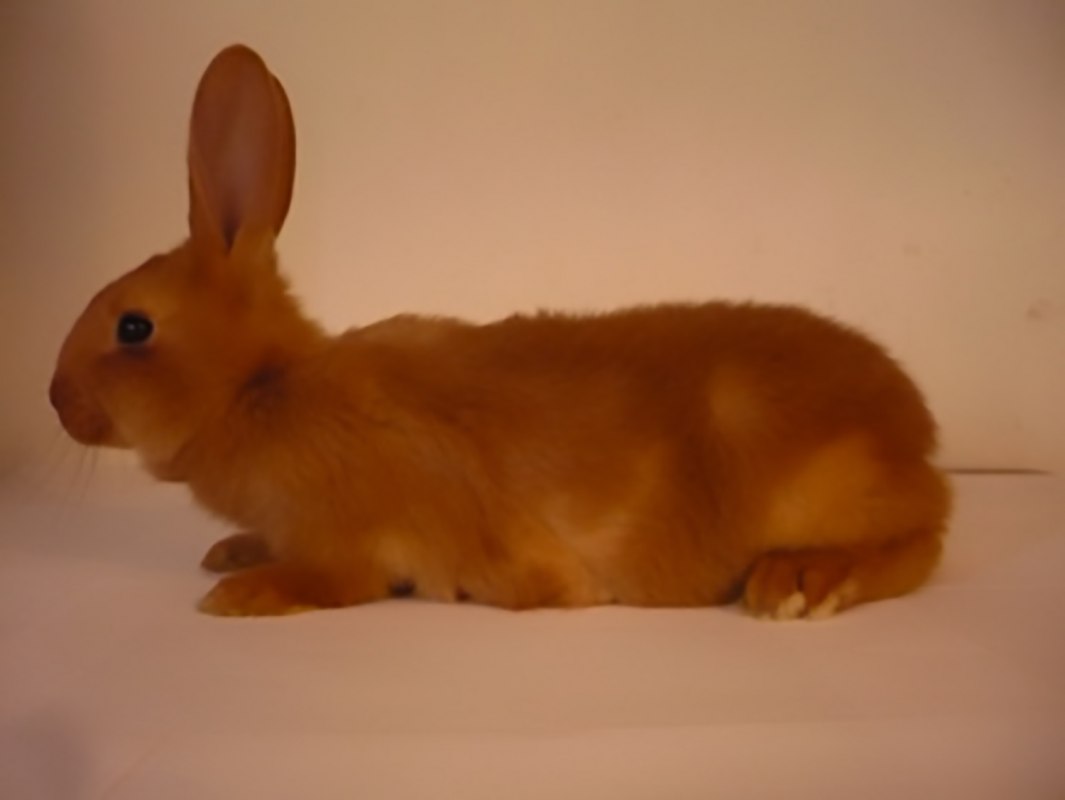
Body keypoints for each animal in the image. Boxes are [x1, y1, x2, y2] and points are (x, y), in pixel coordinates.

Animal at [49, 44, 952, 619]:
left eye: (134, 325)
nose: (55, 399)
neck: (262, 389)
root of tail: (914, 431)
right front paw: (231, 554)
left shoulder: (352, 544)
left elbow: (330, 581)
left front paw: (239, 595)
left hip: (823, 488)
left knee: (920, 538)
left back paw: (798, 581)